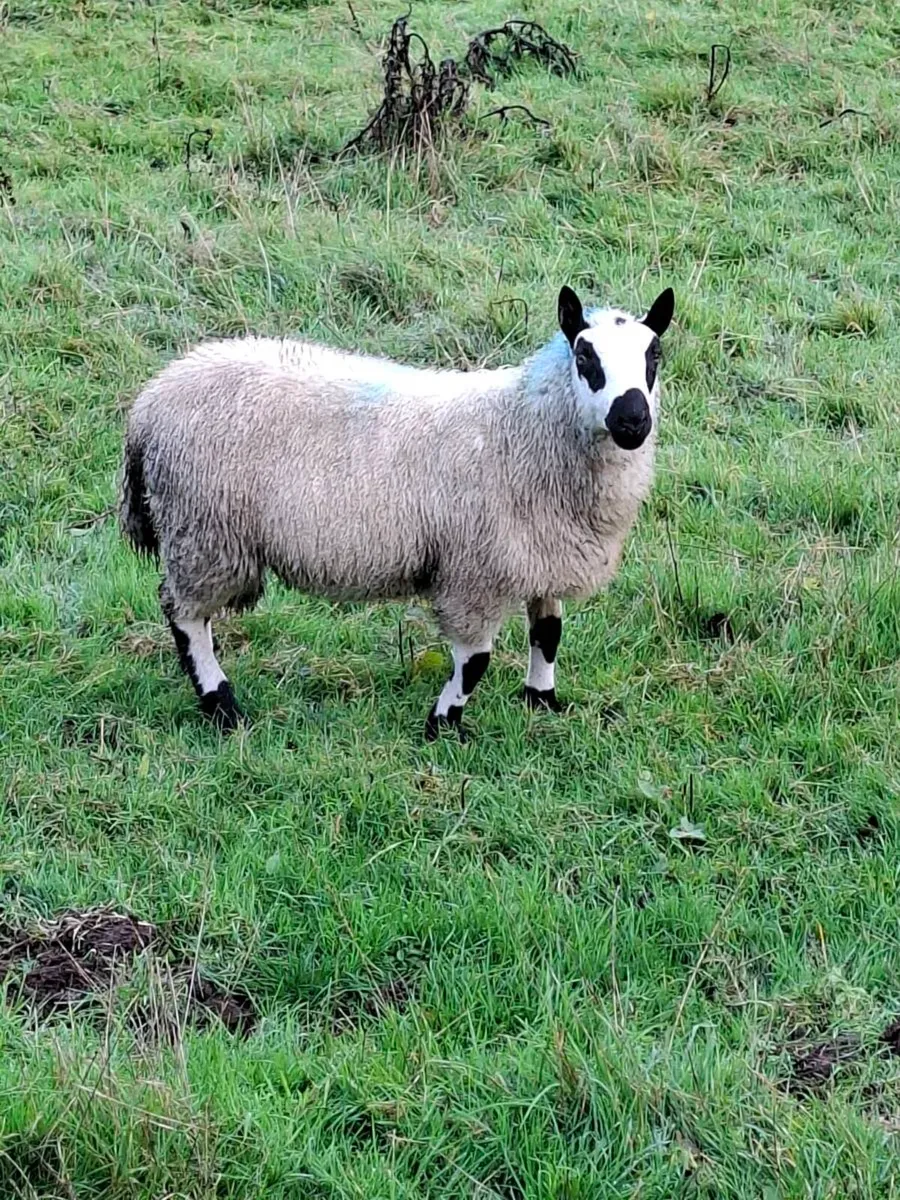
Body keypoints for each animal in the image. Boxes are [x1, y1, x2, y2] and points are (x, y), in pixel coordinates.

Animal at [119, 283, 674, 740]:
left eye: (654, 355)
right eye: (585, 357)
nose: (632, 421)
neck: (521, 426)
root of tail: (149, 402)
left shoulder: (537, 554)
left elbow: (549, 633)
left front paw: (542, 701)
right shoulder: (474, 571)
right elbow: (475, 660)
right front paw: (443, 725)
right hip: (204, 529)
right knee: (185, 615)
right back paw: (222, 704)